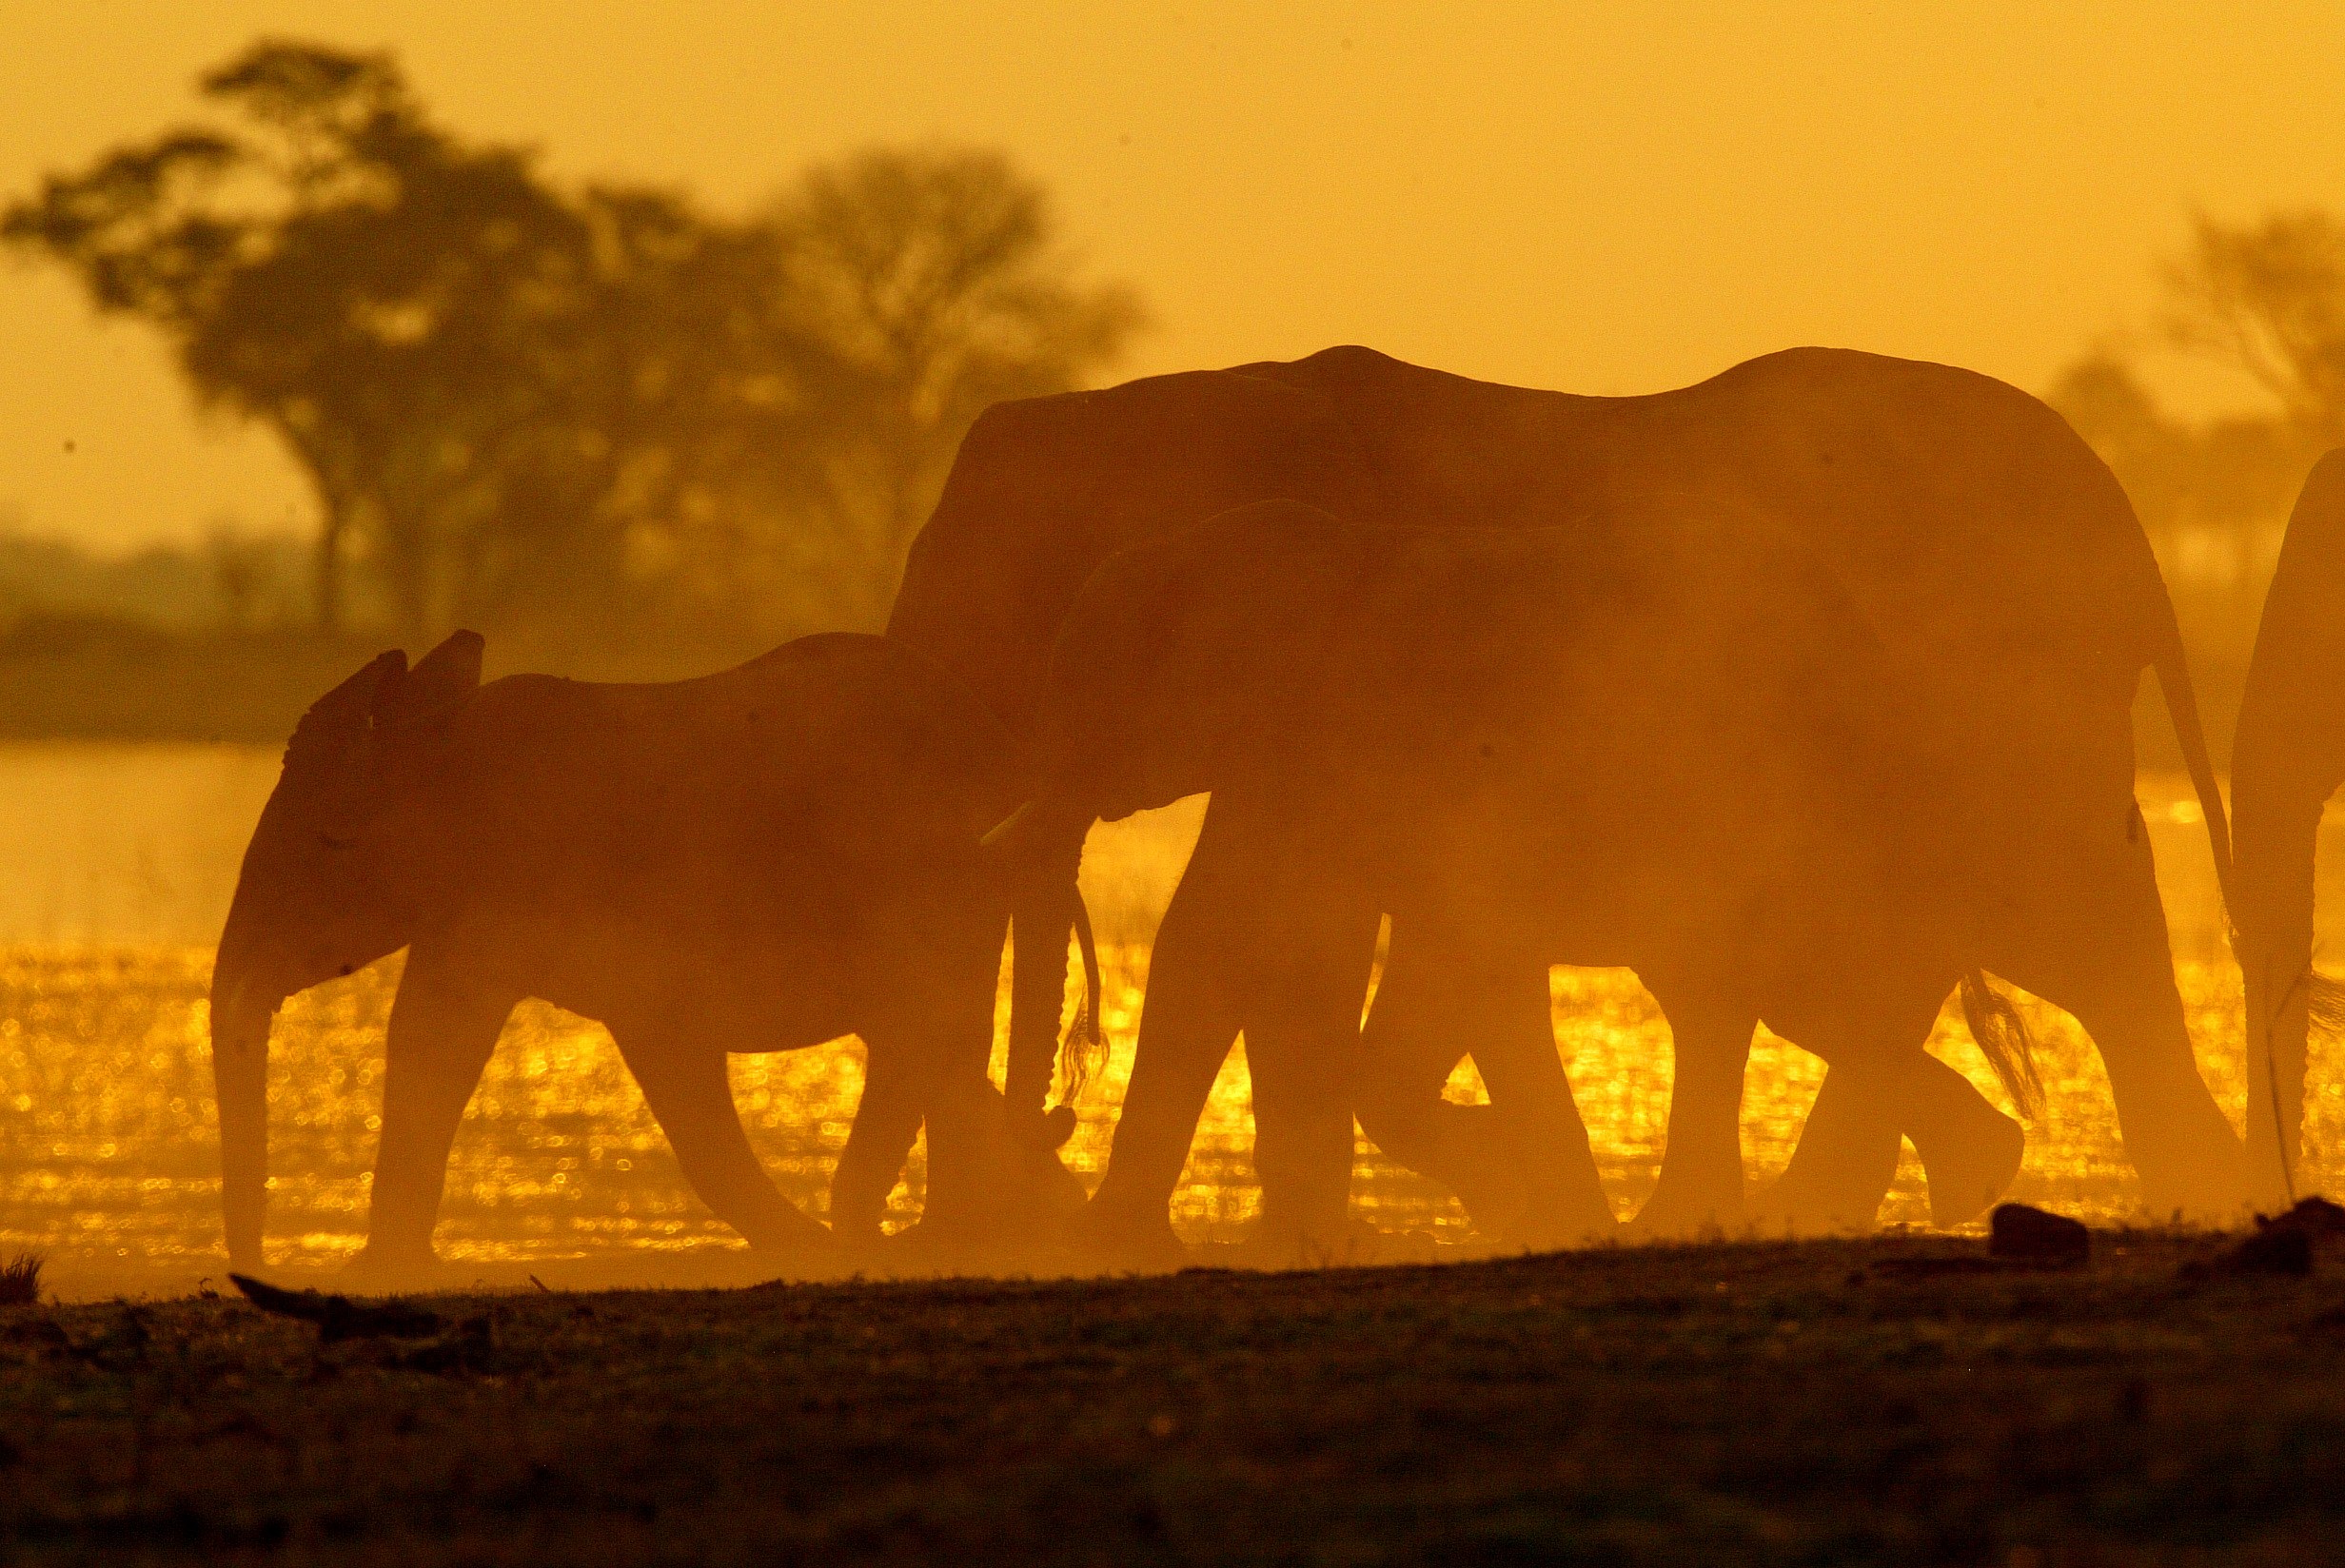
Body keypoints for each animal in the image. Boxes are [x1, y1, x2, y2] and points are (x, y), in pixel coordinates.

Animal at [209, 628, 1086, 1278]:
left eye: (324, 850)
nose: (263, 1269)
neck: (433, 743)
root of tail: (1009, 747)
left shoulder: (509, 890)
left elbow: (432, 1037)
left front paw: (375, 1273)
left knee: (926, 1034)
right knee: (925, 1042)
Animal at [999, 499, 2034, 1245]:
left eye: (1087, 701)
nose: (1055, 1114)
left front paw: (1524, 1197)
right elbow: (1230, 934)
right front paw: (1528, 1202)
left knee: (1770, 984)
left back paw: (1962, 1175)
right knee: (1731, 992)